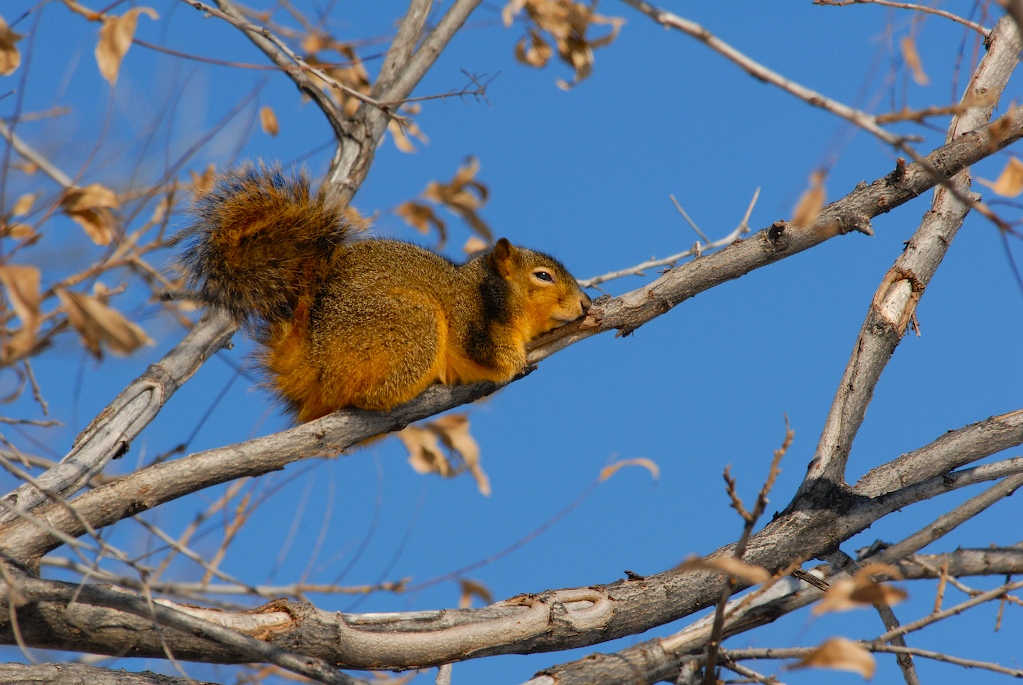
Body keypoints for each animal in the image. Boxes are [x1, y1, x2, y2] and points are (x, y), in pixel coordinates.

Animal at [176, 165, 593, 423]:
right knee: (367, 396)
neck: (487, 291)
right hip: (413, 323)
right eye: (543, 276)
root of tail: (315, 362)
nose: (587, 303)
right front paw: (517, 359)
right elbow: (491, 353)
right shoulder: (471, 321)